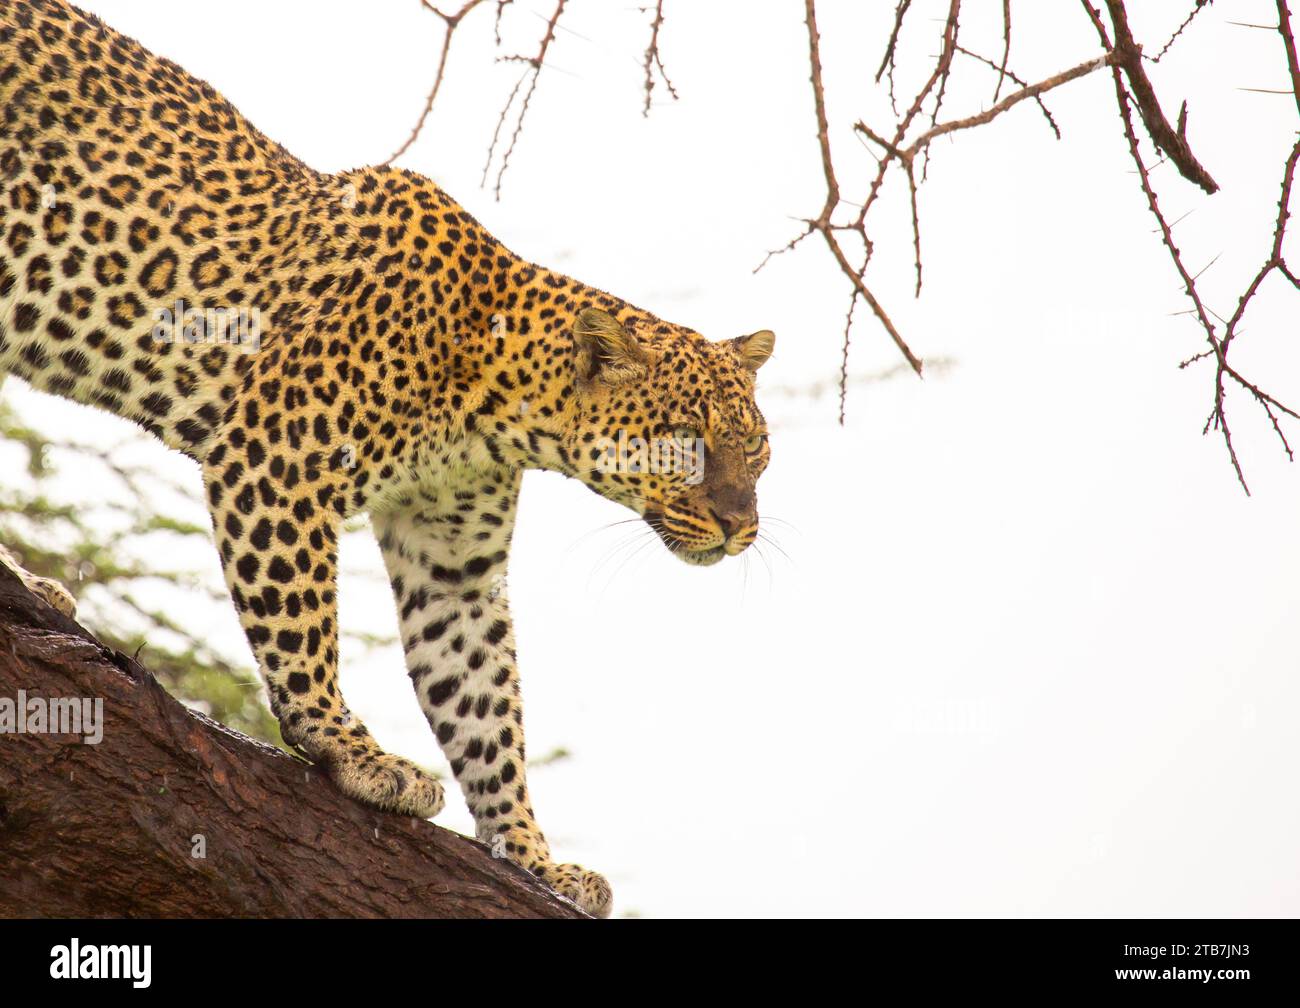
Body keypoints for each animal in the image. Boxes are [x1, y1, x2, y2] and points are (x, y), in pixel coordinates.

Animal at [0, 0, 769, 920]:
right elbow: (302, 625)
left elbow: (485, 704)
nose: (741, 525)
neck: (494, 397)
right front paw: (353, 753)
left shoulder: (453, 559)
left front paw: (536, 859)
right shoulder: (275, 459)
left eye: (757, 449)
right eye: (685, 439)